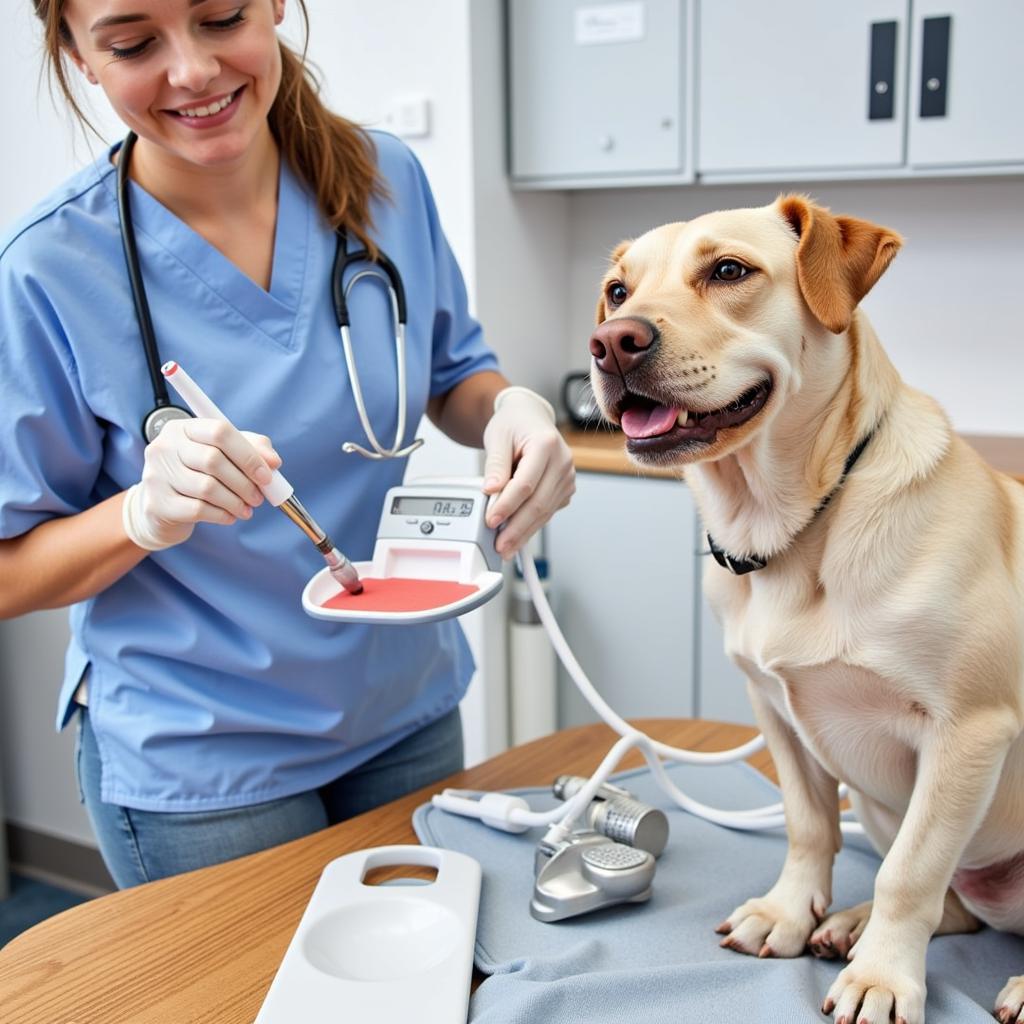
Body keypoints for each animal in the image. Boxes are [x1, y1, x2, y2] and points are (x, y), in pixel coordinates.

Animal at [589, 193, 1019, 1024]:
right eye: (619, 291)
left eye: (729, 271)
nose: (611, 344)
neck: (793, 530)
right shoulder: (777, 709)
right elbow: (809, 826)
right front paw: (790, 916)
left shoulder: (968, 732)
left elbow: (910, 874)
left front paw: (883, 977)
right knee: (960, 905)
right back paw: (847, 924)